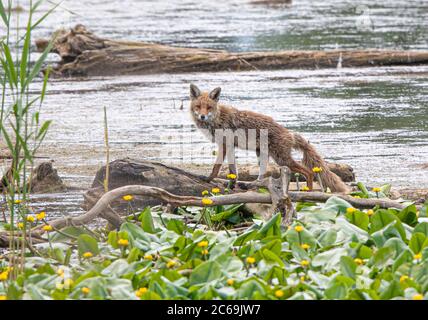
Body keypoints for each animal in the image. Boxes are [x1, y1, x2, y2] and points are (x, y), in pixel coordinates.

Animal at [189, 84, 350, 192]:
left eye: (209, 107)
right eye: (198, 106)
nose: (202, 116)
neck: (217, 119)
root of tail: (290, 133)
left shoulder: (223, 144)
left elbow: (216, 167)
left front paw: (208, 179)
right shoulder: (229, 146)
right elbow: (233, 171)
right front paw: (231, 186)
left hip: (281, 159)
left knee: (308, 172)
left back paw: (307, 193)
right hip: (262, 155)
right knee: (263, 175)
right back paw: (250, 185)